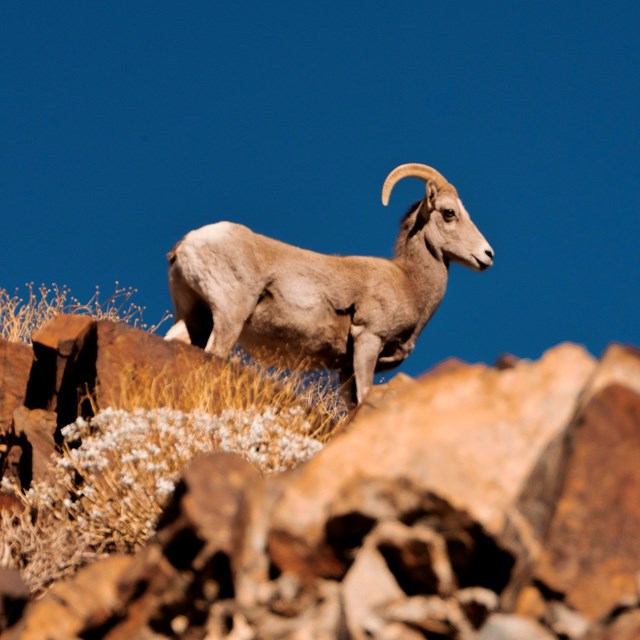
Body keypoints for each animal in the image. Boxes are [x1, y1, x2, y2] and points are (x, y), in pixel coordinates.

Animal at [165, 163, 494, 403]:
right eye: (449, 213)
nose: (487, 255)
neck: (409, 283)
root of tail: (187, 243)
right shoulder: (368, 339)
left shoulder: (345, 369)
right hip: (229, 319)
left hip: (195, 318)